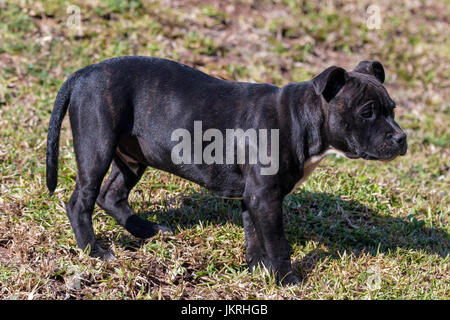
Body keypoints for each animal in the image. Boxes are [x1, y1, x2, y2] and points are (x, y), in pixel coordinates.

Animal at [47, 57, 406, 284]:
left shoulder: (255, 197)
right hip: (98, 146)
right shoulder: (265, 197)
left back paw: (146, 231)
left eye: (392, 110)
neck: (301, 118)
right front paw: (287, 279)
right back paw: (94, 251)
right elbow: (277, 242)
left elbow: (255, 235)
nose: (402, 138)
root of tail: (85, 72)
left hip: (134, 155)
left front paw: (258, 269)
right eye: (367, 113)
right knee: (81, 201)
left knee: (112, 194)